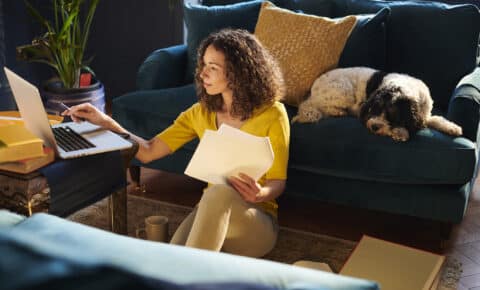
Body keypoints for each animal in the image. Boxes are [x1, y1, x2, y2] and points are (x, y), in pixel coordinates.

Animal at [290, 67, 464, 142]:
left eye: (392, 114)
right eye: (374, 109)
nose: (374, 126)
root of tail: (313, 89)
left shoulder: (424, 113)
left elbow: (435, 119)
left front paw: (452, 127)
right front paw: (400, 132)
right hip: (344, 91)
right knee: (322, 106)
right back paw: (339, 112)